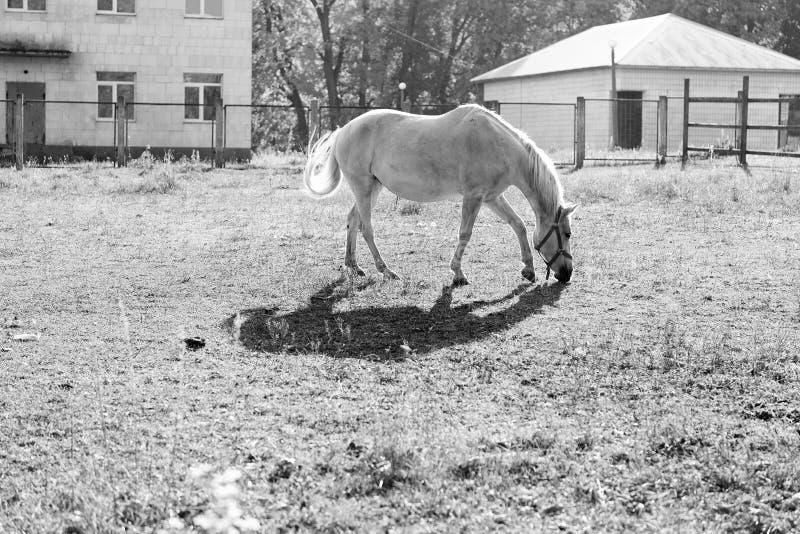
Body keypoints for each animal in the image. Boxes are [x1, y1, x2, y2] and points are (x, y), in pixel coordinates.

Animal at [303, 104, 578, 286]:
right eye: (567, 233)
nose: (567, 273)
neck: (499, 145)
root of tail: (344, 130)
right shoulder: (474, 197)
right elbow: (465, 234)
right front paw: (458, 273)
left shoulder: (492, 197)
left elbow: (518, 225)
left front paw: (528, 269)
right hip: (363, 188)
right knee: (366, 228)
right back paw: (386, 270)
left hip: (371, 189)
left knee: (353, 220)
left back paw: (354, 266)